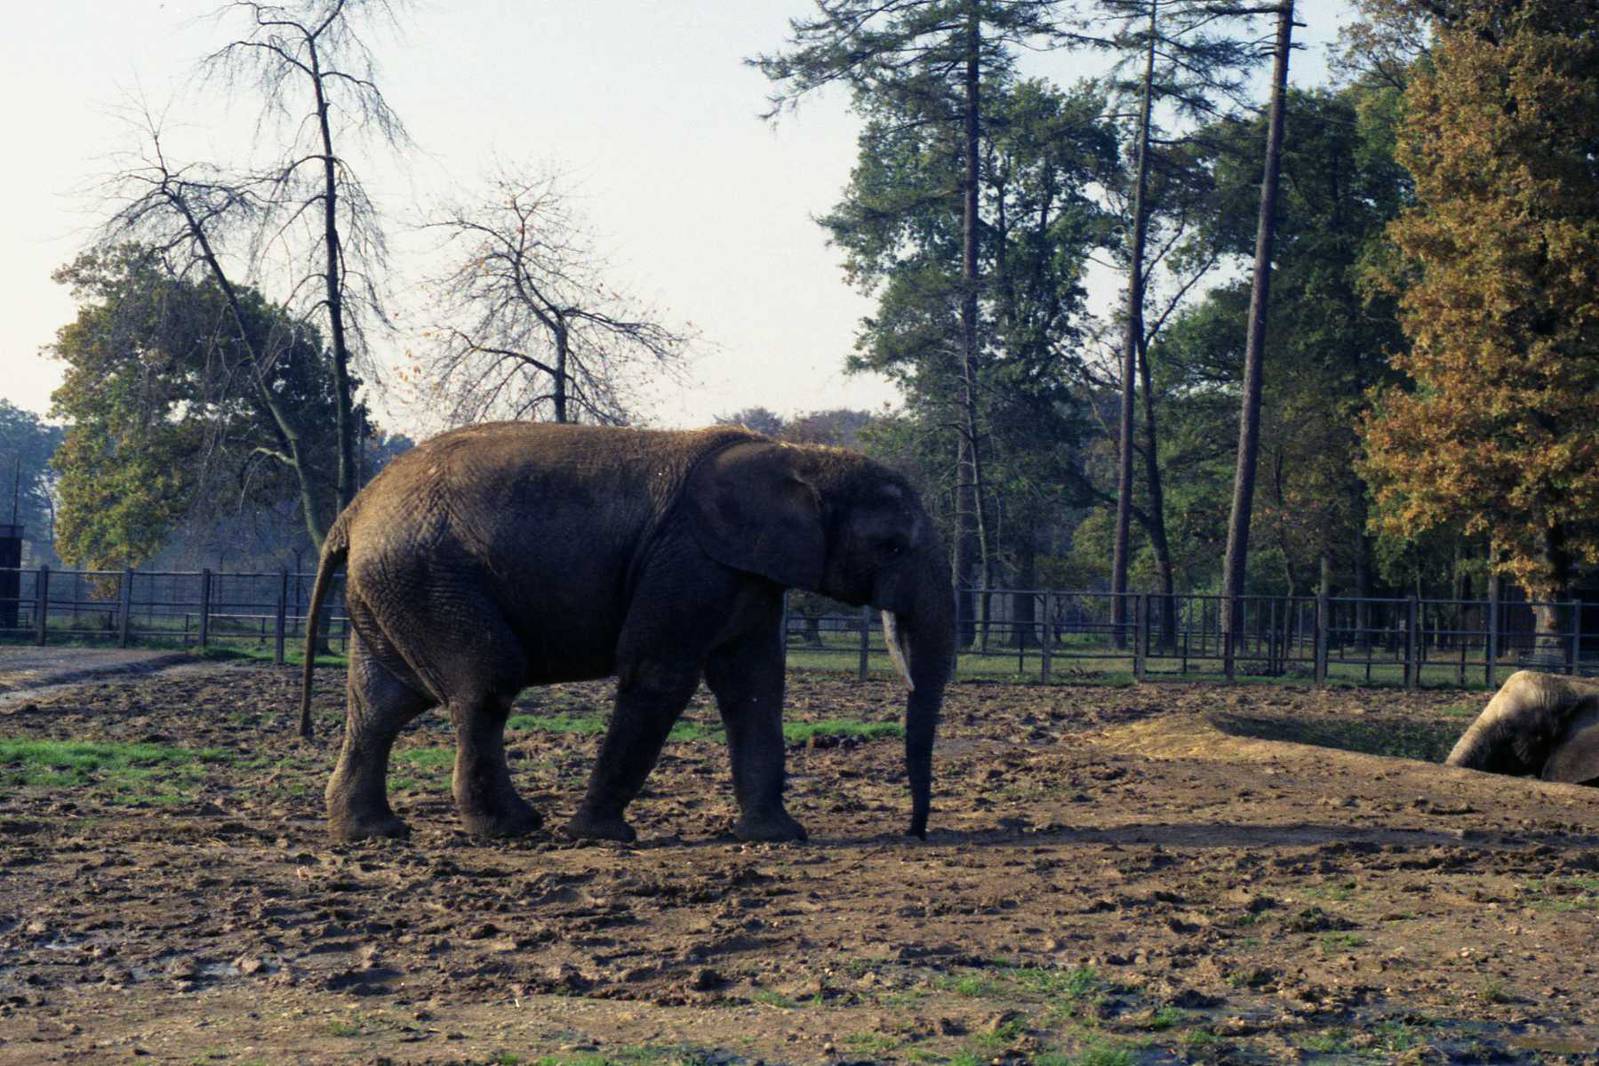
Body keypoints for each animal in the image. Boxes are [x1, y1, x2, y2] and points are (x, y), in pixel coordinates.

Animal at [297, 422, 956, 844]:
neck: (796, 456)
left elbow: (755, 687)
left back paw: (373, 835)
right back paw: (515, 829)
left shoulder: (745, 574)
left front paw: (779, 838)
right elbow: (660, 678)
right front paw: (601, 837)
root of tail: (351, 514)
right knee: (484, 684)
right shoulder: (687, 561)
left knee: (383, 705)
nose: (915, 833)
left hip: (392, 589)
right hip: (428, 578)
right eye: (891, 546)